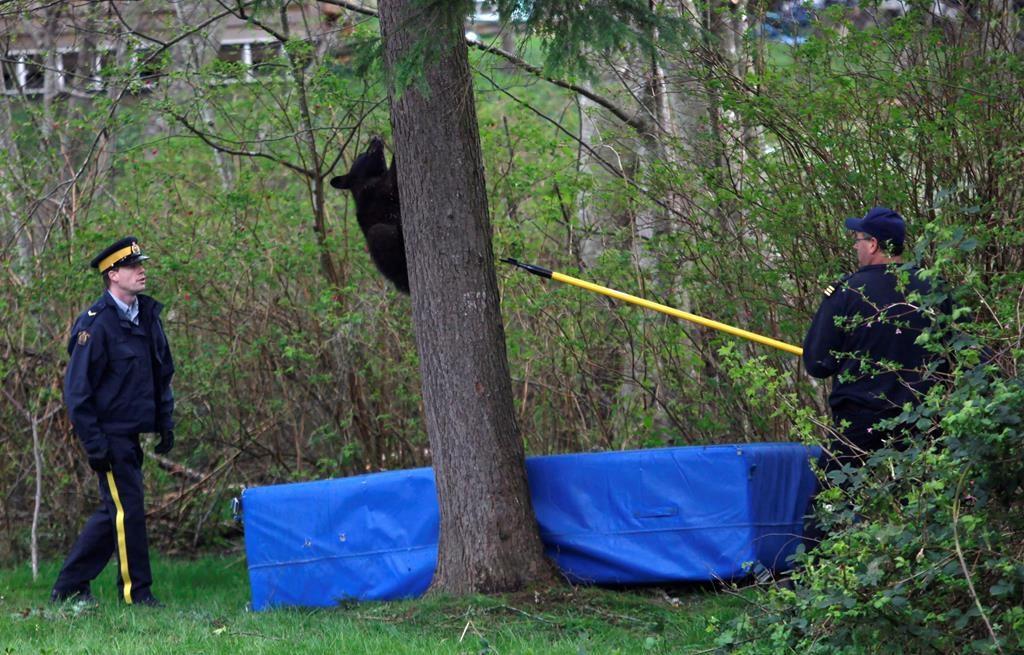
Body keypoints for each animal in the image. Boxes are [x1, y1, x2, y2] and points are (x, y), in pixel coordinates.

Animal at [330, 136, 409, 294]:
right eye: (362, 154)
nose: (375, 137)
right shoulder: (376, 190)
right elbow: (392, 181)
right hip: (380, 240)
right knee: (378, 234)